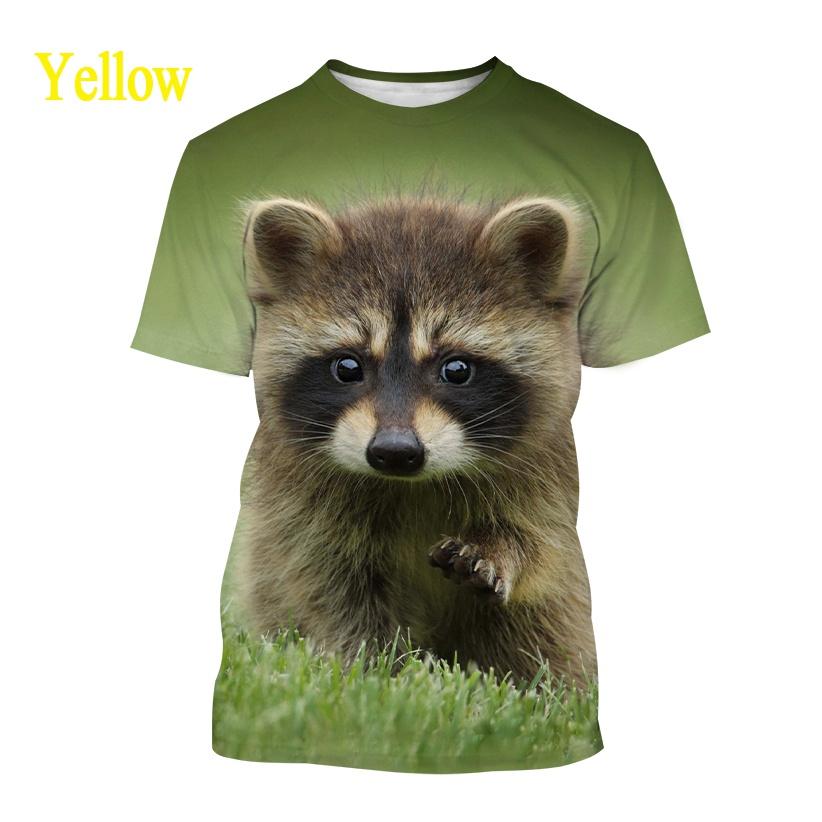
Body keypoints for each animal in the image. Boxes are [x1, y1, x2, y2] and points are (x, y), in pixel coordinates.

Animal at [236, 193, 597, 685]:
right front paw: (379, 670)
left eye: (457, 369)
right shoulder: (301, 508)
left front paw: (501, 548)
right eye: (347, 367)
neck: (413, 485)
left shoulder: (546, 472)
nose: (394, 452)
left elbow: (544, 544)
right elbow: (331, 586)